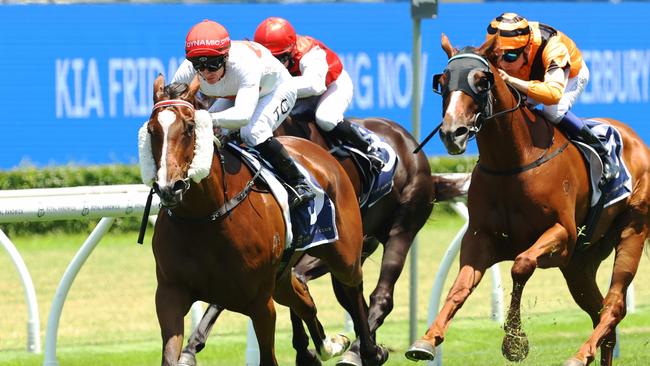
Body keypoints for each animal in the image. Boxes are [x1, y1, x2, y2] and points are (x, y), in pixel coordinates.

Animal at [142, 74, 388, 366]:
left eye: (190, 128)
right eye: (151, 130)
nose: (169, 188)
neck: (205, 217)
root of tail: (321, 153)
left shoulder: (260, 303)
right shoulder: (170, 294)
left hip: (344, 253)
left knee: (353, 287)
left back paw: (370, 351)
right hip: (282, 275)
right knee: (303, 297)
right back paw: (330, 346)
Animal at [180, 112, 468, 366]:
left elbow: (292, 287)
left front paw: (307, 351)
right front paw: (191, 347)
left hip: (399, 228)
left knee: (381, 296)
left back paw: (357, 351)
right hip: (356, 252)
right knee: (352, 298)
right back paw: (364, 348)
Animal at [404, 34, 648, 366]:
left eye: (481, 81)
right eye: (442, 81)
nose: (453, 132)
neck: (512, 162)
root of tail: (636, 140)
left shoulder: (563, 235)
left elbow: (521, 264)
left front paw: (514, 341)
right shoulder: (480, 237)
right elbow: (460, 286)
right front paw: (427, 340)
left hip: (631, 230)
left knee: (614, 305)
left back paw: (578, 354)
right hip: (580, 264)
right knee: (600, 315)